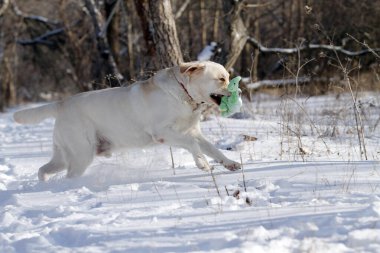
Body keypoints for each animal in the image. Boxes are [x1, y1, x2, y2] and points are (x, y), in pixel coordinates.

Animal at [14, 60, 242, 181]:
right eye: (221, 79)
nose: (238, 91)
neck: (183, 95)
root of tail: (61, 103)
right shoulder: (163, 133)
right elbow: (193, 145)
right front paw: (202, 164)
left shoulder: (193, 131)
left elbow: (213, 149)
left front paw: (230, 163)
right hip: (81, 155)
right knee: (68, 175)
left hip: (64, 155)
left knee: (43, 169)